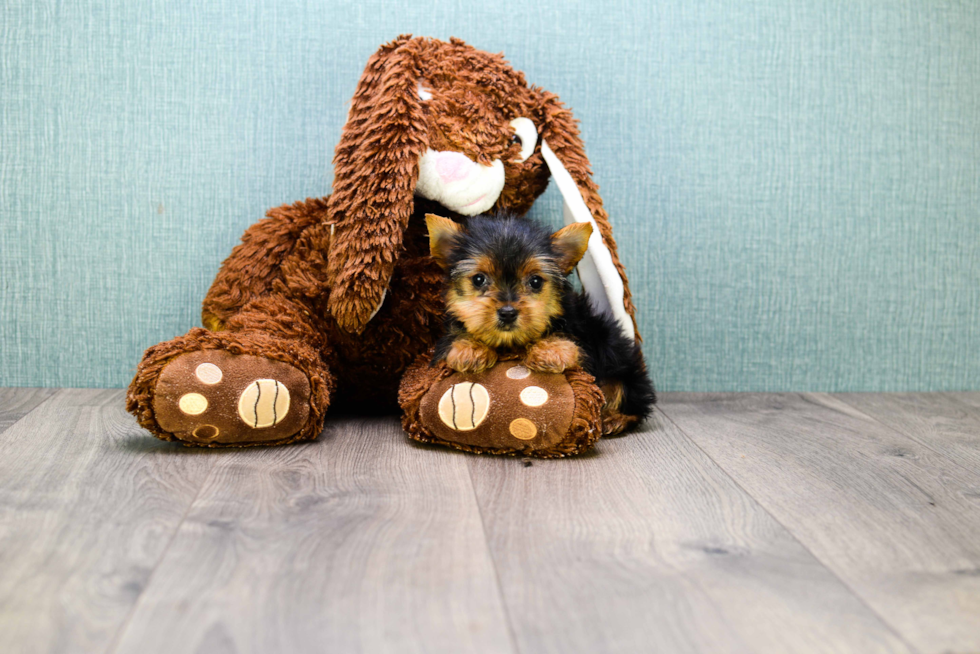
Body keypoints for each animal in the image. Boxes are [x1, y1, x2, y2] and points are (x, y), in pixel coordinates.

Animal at [424, 215, 656, 430]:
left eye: (535, 281)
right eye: (478, 279)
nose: (507, 313)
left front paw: (551, 350)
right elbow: (455, 337)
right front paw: (470, 349)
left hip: (620, 363)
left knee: (630, 396)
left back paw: (616, 418)